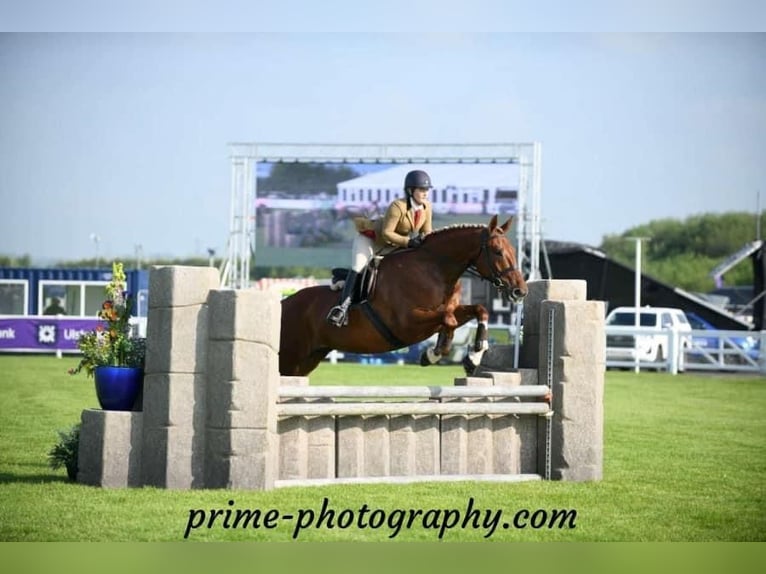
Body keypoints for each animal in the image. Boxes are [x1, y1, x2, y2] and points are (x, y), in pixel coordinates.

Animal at [280, 216, 528, 378]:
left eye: (514, 251)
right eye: (497, 251)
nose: (520, 291)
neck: (435, 268)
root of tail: (285, 303)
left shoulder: (447, 310)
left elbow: (477, 311)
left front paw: (472, 355)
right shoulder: (406, 323)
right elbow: (448, 320)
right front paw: (436, 353)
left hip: (305, 361)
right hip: (290, 357)